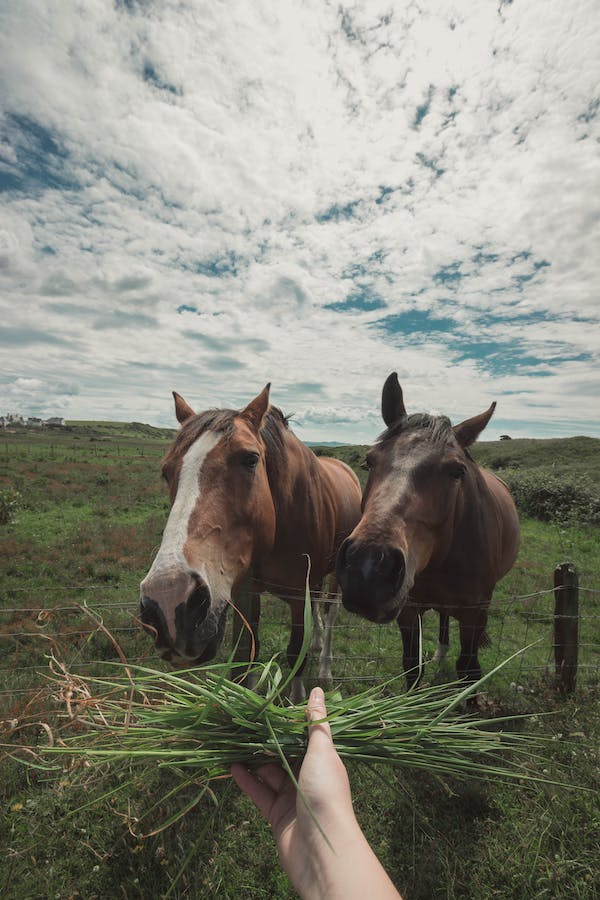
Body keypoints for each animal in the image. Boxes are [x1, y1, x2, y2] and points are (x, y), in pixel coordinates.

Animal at [139, 384, 360, 700]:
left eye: (250, 459)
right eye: (166, 471)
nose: (168, 601)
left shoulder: (298, 596)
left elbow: (297, 654)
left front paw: (297, 701)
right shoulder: (250, 592)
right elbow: (250, 654)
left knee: (330, 612)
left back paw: (325, 667)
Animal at [338, 372, 520, 688]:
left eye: (457, 471)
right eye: (368, 461)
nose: (368, 568)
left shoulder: (474, 614)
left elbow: (469, 671)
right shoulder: (409, 611)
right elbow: (412, 668)